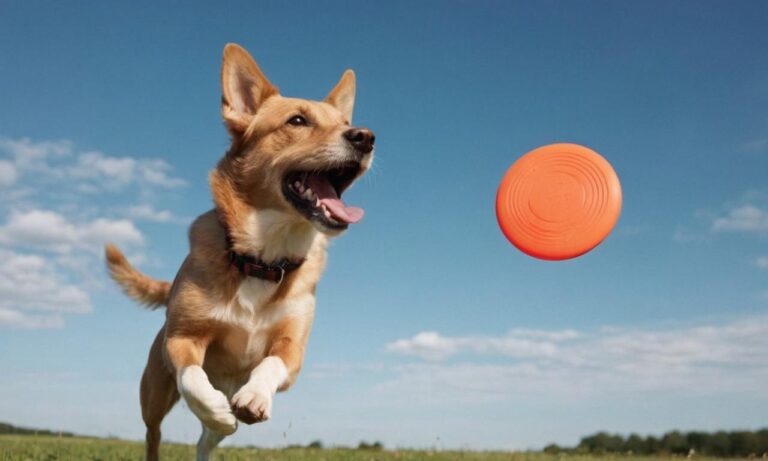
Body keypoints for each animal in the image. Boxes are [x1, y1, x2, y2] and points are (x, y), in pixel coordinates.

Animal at [105, 43, 376, 460]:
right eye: (298, 120)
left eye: (346, 121)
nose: (366, 136)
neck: (263, 259)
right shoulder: (183, 339)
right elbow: (193, 377)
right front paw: (216, 407)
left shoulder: (294, 350)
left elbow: (271, 364)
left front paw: (254, 397)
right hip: (152, 395)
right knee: (155, 434)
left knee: (205, 441)